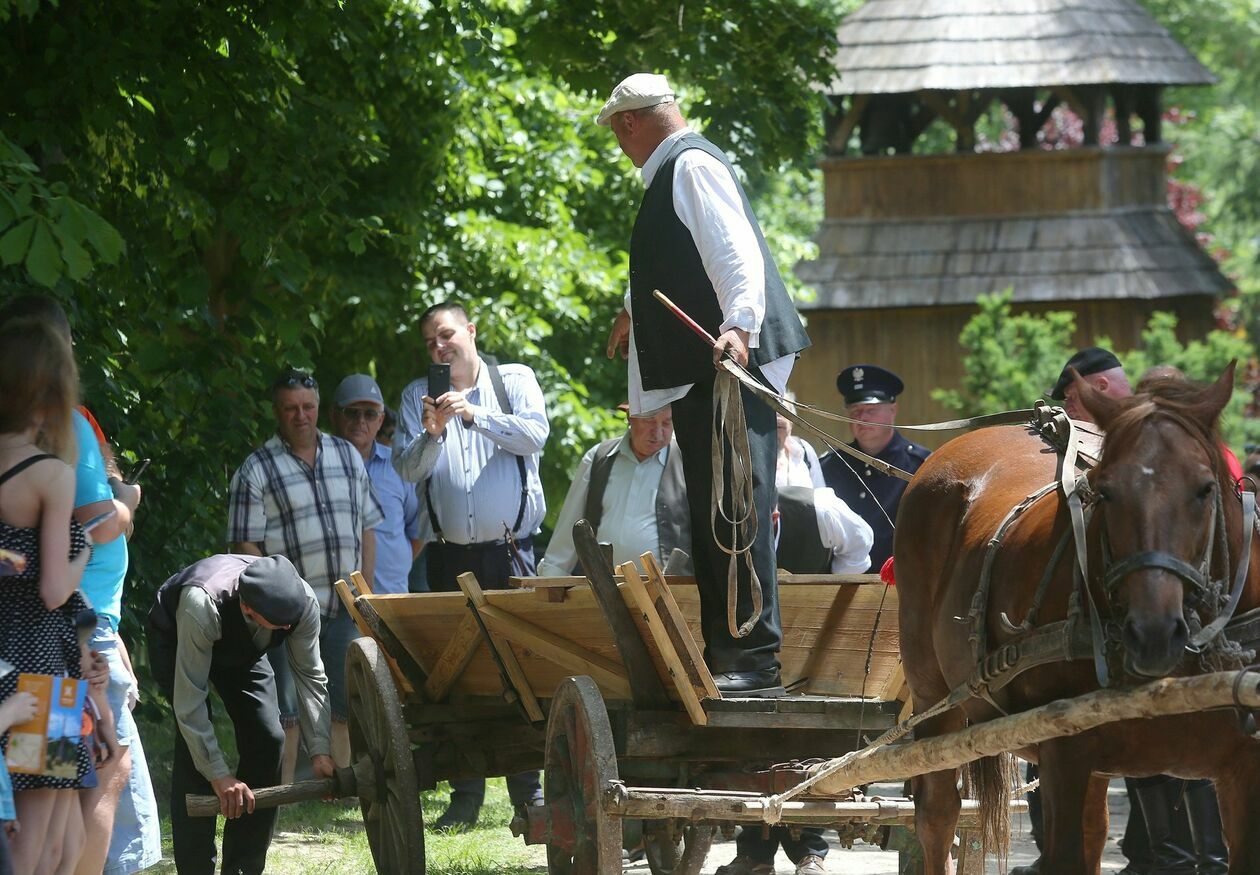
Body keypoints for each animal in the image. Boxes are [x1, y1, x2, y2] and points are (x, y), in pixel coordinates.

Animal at [897, 368, 1260, 875]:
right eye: (1105, 491)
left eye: (1206, 488)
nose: (1154, 633)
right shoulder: (1063, 753)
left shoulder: (1245, 769)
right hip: (933, 696)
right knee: (936, 814)